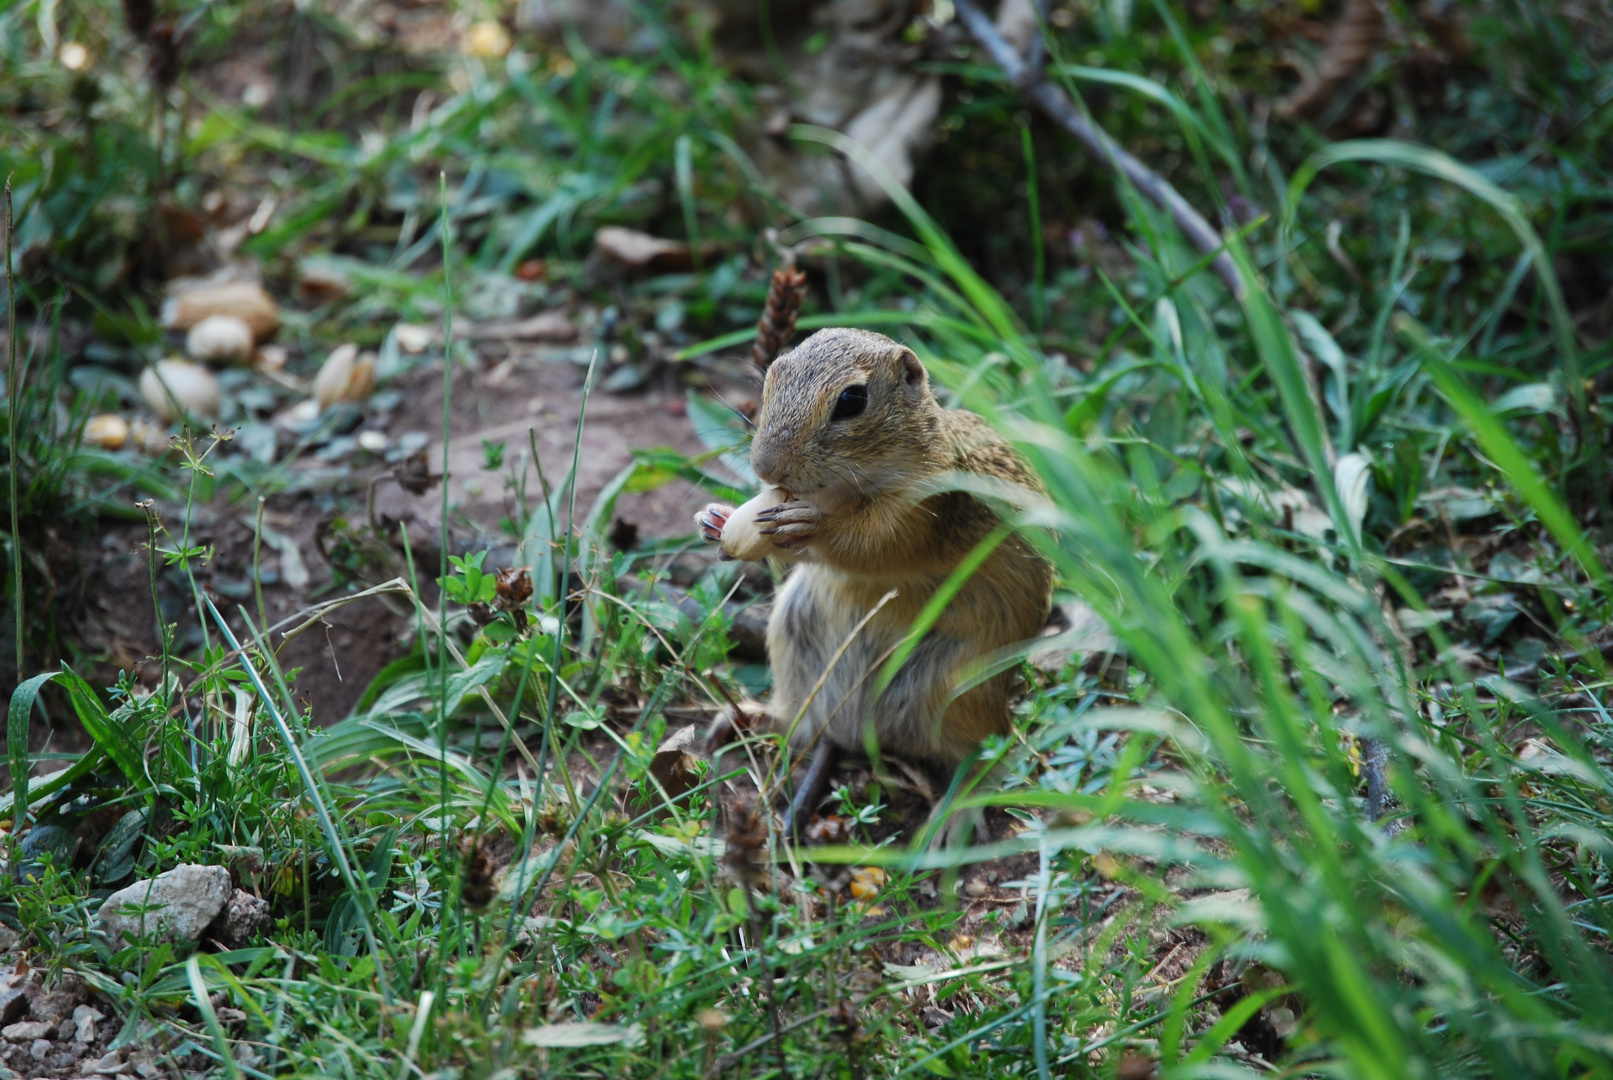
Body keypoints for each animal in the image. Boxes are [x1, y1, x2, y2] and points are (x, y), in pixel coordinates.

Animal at [696, 325, 1058, 789]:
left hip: (956, 687)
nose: (765, 468)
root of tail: (858, 732)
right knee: (799, 725)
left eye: (852, 400)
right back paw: (750, 718)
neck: (839, 492)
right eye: (771, 378)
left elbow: (873, 545)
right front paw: (715, 519)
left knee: (985, 757)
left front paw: (809, 525)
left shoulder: (923, 509)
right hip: (795, 637)